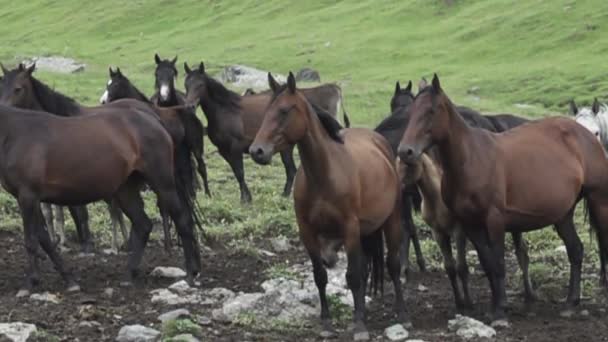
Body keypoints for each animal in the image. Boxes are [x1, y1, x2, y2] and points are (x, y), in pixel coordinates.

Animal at [0, 99, 202, 294]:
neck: (14, 135)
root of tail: (155, 119)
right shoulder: (30, 198)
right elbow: (44, 239)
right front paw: (68, 280)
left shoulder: (27, 196)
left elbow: (31, 240)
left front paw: (29, 284)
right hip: (125, 190)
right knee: (144, 225)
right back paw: (129, 275)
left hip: (162, 183)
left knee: (182, 221)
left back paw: (190, 274)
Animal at [249, 72, 406, 340]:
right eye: (266, 110)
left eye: (284, 111)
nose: (257, 151)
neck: (324, 175)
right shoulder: (308, 232)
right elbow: (320, 275)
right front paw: (326, 322)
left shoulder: (349, 229)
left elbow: (352, 276)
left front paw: (359, 325)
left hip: (391, 220)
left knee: (392, 265)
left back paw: (400, 312)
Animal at [400, 154, 536, 312]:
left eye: (409, 164)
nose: (399, 190)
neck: (435, 199)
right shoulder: (438, 234)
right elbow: (450, 268)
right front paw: (459, 302)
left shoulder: (458, 232)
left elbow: (462, 267)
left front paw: (469, 303)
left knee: (521, 254)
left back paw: (529, 296)